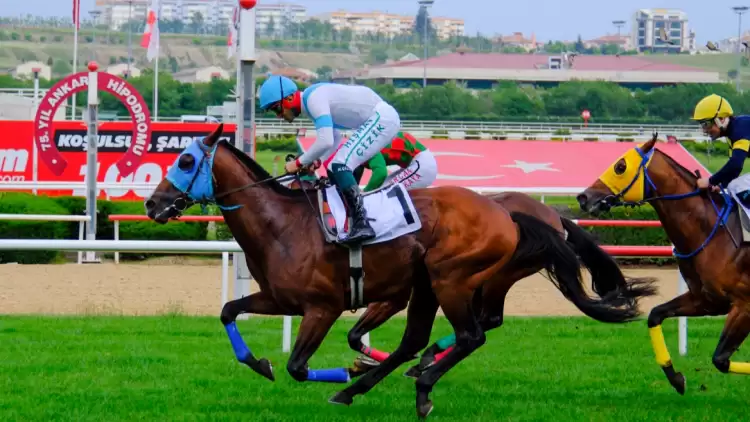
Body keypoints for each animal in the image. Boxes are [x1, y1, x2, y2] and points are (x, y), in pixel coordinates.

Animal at [145, 124, 653, 418]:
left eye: (186, 159)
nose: (152, 204)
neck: (283, 224)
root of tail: (510, 213)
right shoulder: (278, 298)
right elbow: (230, 311)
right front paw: (260, 362)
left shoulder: (324, 306)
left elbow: (298, 365)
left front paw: (340, 371)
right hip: (431, 284)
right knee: (425, 338)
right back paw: (375, 383)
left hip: (453, 278)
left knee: (473, 333)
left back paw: (419, 382)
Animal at [576, 134, 750, 395]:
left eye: (620, 166)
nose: (584, 197)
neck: (716, 232)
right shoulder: (707, 300)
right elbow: (655, 315)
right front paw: (676, 378)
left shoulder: (744, 305)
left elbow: (720, 359)